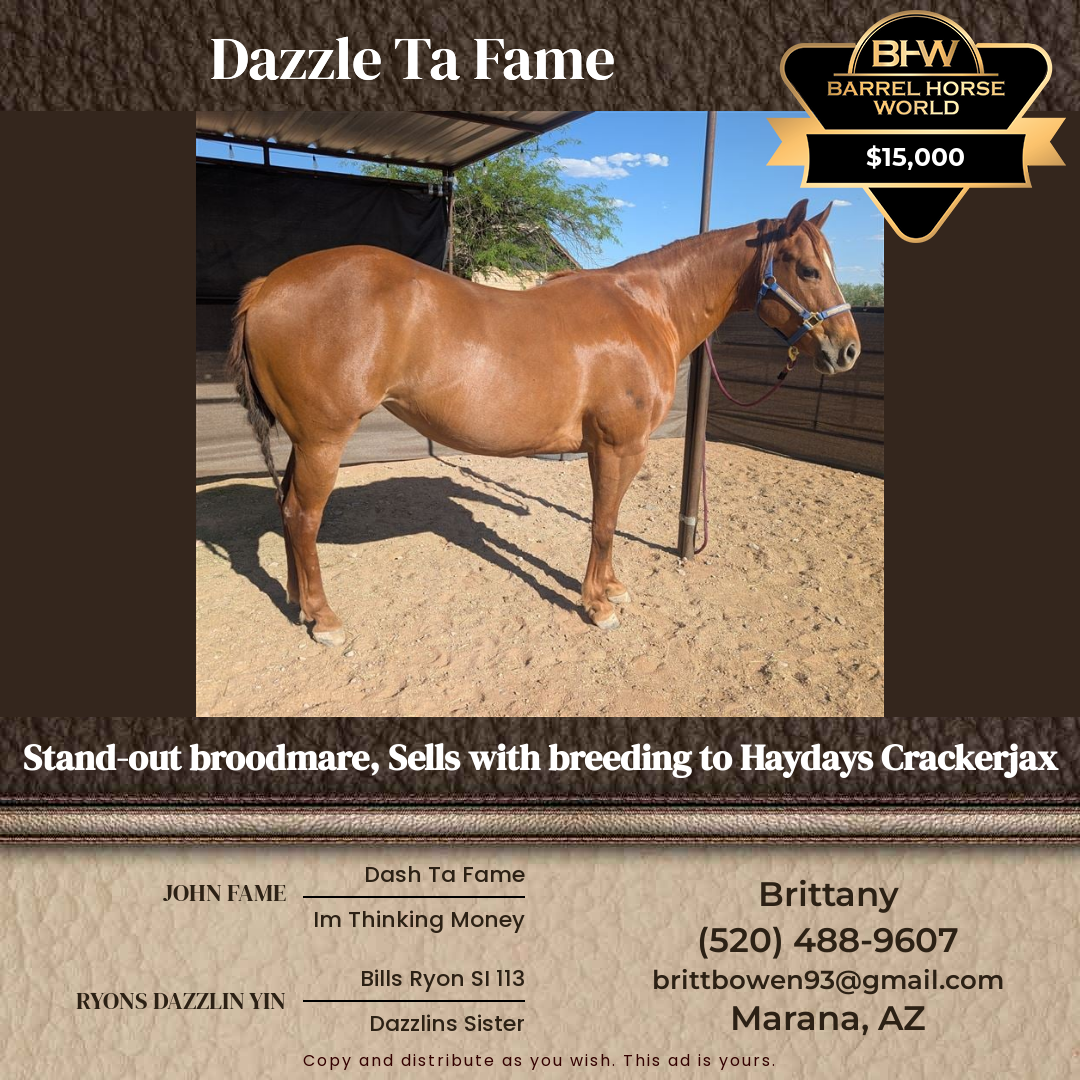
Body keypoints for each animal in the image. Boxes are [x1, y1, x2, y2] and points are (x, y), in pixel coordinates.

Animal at [228, 198, 860, 645]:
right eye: (808, 269)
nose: (848, 350)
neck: (644, 309)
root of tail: (269, 286)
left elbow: (608, 522)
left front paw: (611, 589)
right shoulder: (617, 446)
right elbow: (603, 522)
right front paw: (597, 605)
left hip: (305, 440)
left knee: (286, 507)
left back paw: (296, 602)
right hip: (324, 440)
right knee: (305, 516)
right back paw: (324, 618)